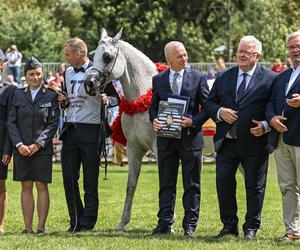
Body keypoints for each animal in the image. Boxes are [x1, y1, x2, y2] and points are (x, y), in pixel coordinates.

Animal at [84, 28, 158, 231]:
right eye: (93, 56)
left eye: (107, 57)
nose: (89, 84)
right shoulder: (134, 148)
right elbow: (131, 186)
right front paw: (122, 223)